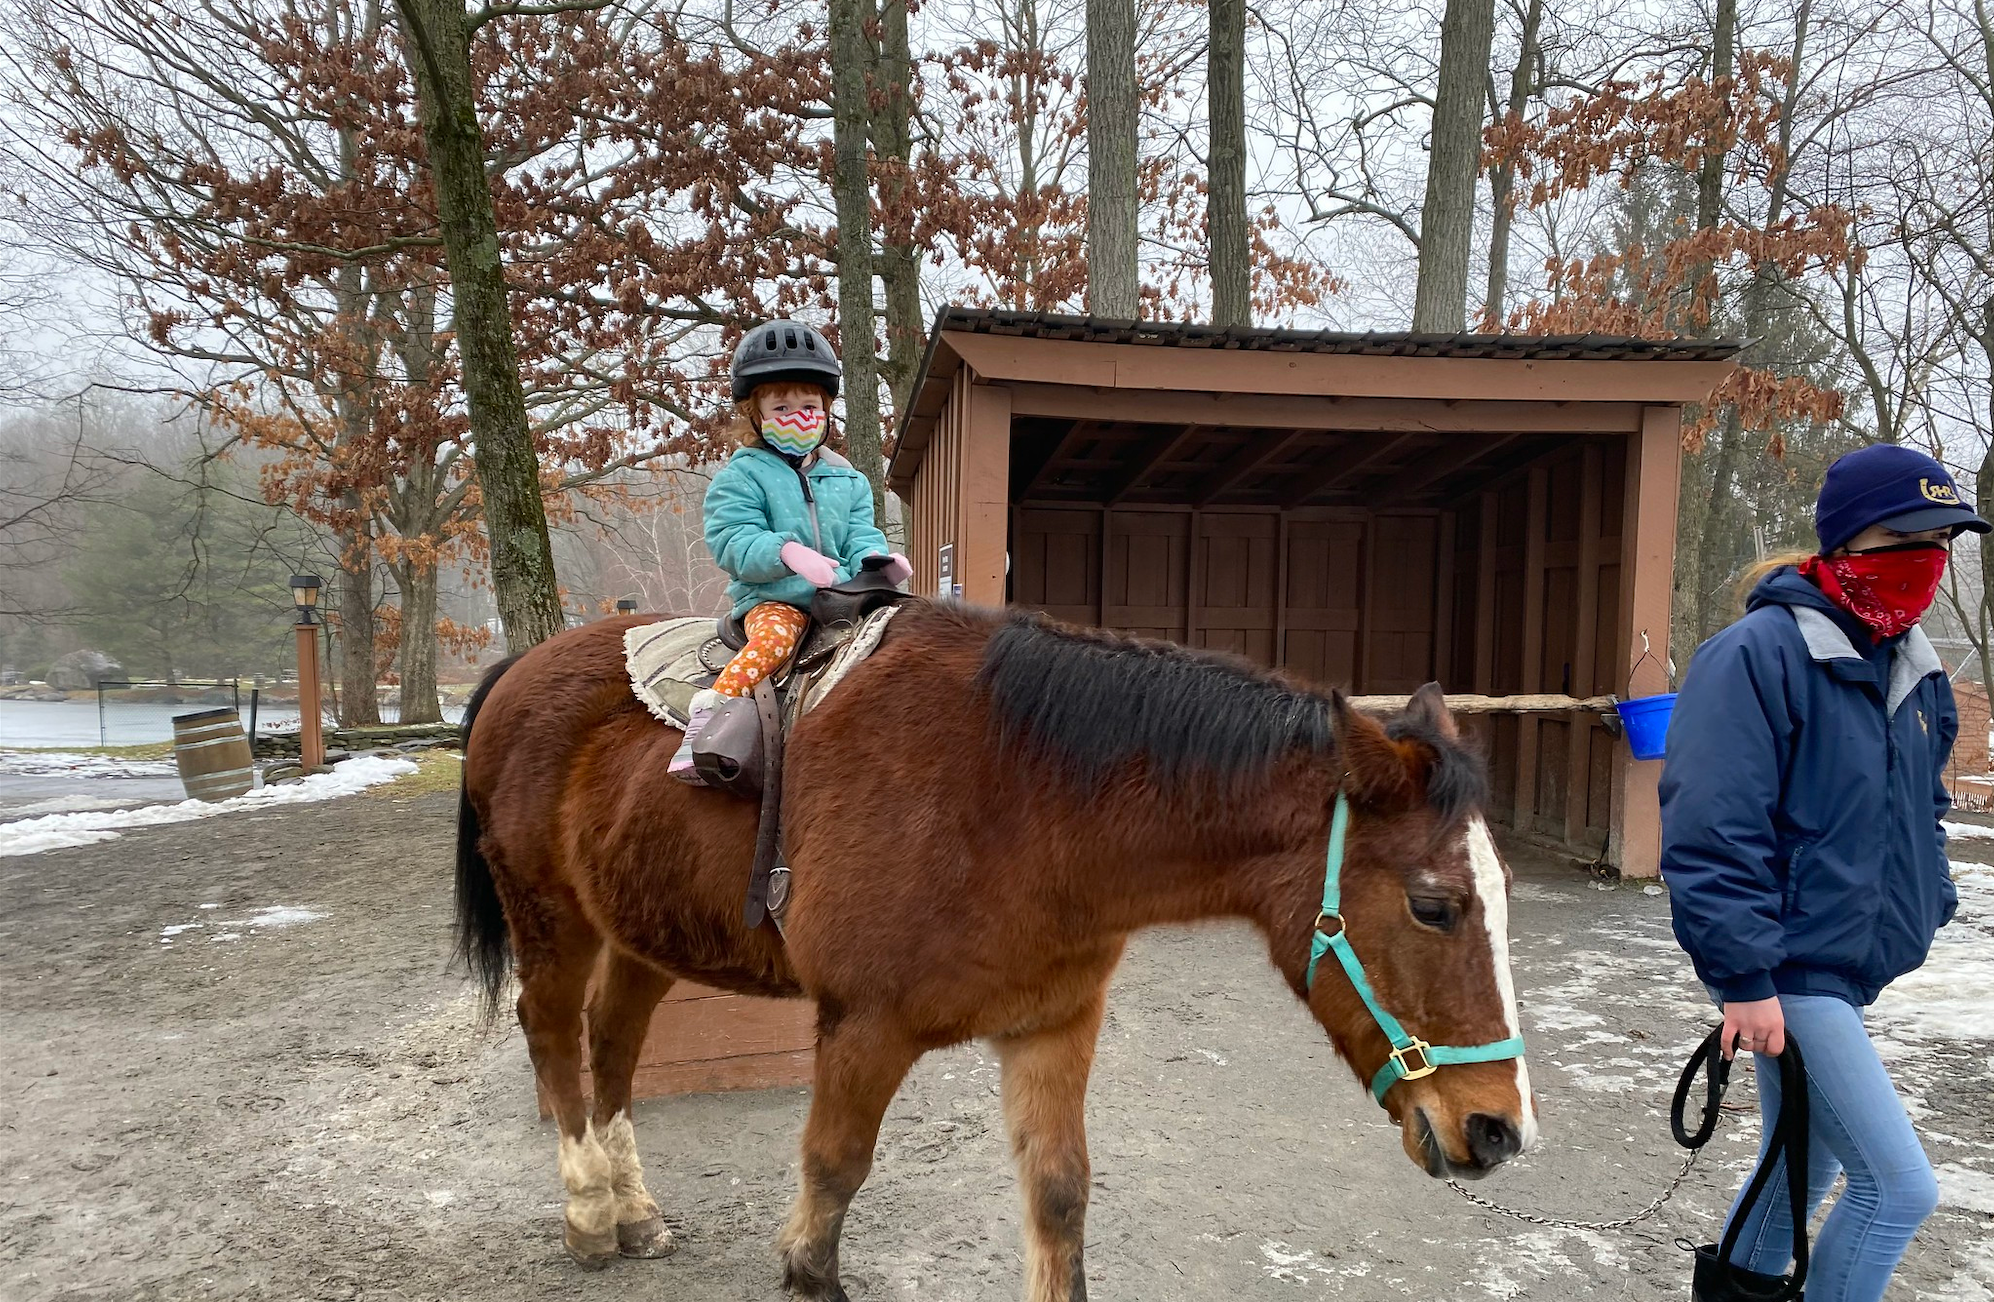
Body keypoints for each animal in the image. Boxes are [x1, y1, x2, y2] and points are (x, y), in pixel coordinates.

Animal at [455, 599, 1539, 1302]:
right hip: (552, 920)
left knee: (612, 1042)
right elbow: (827, 1201)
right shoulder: (863, 1031)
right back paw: (588, 1217)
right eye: (1435, 906)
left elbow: (1059, 1199)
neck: (1021, 800)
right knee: (551, 1033)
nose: (1498, 1131)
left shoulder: (1052, 1030)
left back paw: (634, 1212)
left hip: (639, 932)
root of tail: (520, 670)